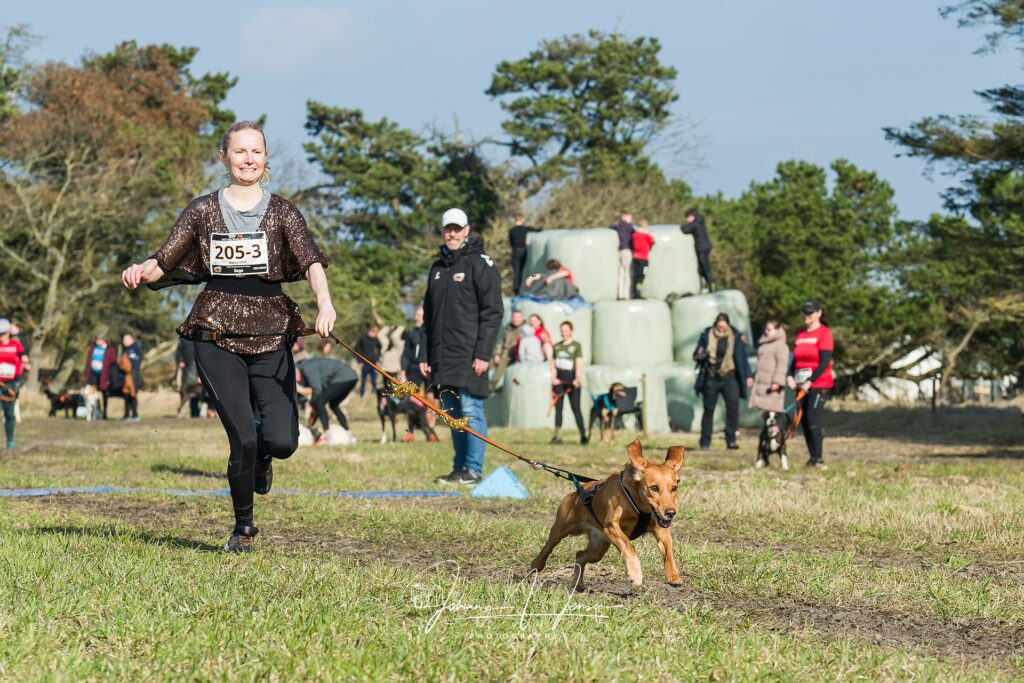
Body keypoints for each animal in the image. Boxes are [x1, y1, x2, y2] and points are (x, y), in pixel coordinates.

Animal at [530, 439, 684, 589]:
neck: (639, 506)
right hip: (560, 529)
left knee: (580, 555)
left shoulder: (661, 530)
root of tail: (575, 493)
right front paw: (635, 573)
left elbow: (669, 553)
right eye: (654, 488)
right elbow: (628, 545)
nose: (671, 512)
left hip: (599, 547)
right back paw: (535, 567)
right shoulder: (611, 526)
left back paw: (578, 584)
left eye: (674, 488)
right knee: (547, 548)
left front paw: (673, 576)